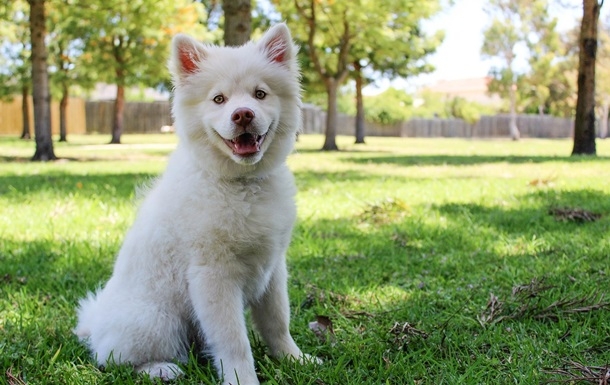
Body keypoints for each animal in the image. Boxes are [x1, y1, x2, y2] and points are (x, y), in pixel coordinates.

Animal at [75, 24, 314, 384]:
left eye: (260, 94)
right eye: (219, 99)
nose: (243, 114)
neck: (241, 184)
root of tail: (96, 324)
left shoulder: (273, 269)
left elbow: (278, 323)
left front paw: (295, 361)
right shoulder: (213, 275)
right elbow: (234, 340)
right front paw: (243, 379)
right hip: (156, 321)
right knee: (113, 358)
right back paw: (160, 368)